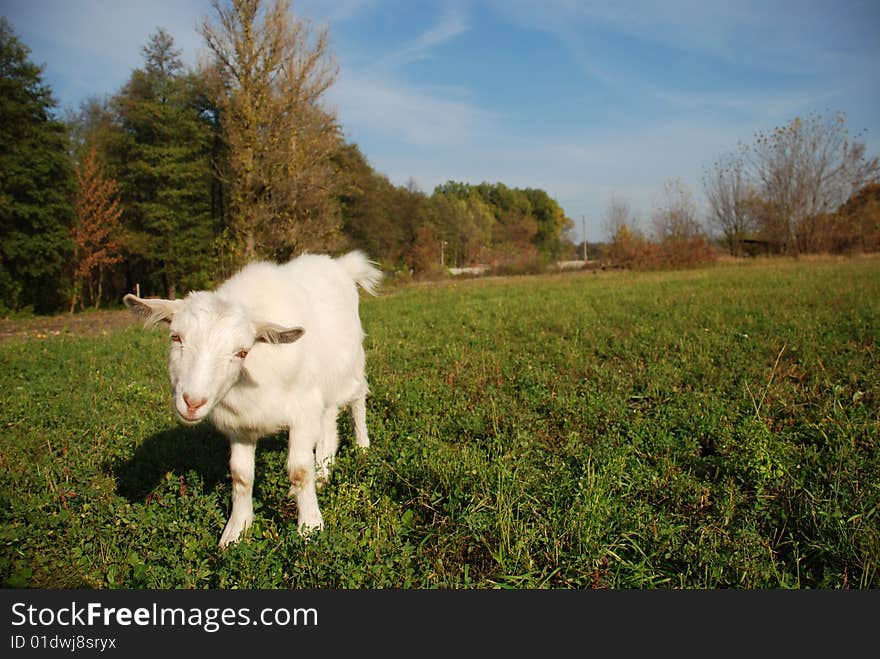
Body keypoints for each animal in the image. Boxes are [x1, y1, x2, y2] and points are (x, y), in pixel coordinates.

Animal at [124, 251, 382, 548]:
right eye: (176, 337)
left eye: (242, 352)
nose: (192, 402)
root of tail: (341, 265)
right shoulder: (241, 425)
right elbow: (241, 476)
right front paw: (236, 532)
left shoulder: (302, 413)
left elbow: (299, 470)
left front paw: (310, 527)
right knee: (328, 422)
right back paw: (324, 472)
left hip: (353, 366)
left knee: (357, 400)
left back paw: (362, 447)